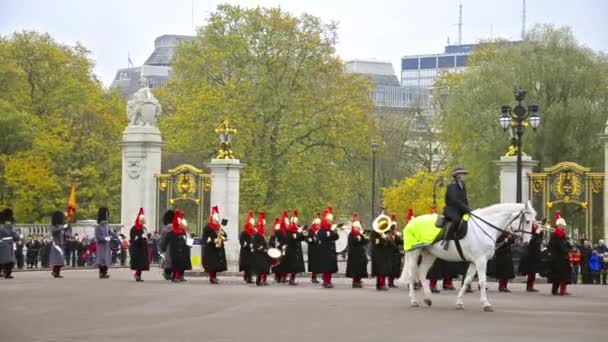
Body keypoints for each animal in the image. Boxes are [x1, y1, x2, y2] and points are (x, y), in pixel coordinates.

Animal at [400, 202, 536, 312]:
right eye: (527, 221)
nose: (526, 243)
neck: (486, 227)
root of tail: (412, 221)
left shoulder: (474, 262)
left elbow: (467, 280)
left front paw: (459, 302)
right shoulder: (481, 261)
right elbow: (482, 281)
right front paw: (486, 304)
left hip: (430, 254)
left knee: (422, 273)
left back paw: (428, 298)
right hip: (414, 253)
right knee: (412, 275)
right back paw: (413, 300)